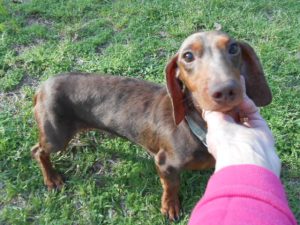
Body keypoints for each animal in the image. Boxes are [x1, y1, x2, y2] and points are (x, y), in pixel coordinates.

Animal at [31, 31, 272, 221]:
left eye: (233, 47)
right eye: (187, 56)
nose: (226, 90)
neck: (194, 125)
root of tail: (42, 86)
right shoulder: (165, 164)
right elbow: (171, 186)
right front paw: (170, 207)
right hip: (56, 137)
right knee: (37, 151)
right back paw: (51, 179)